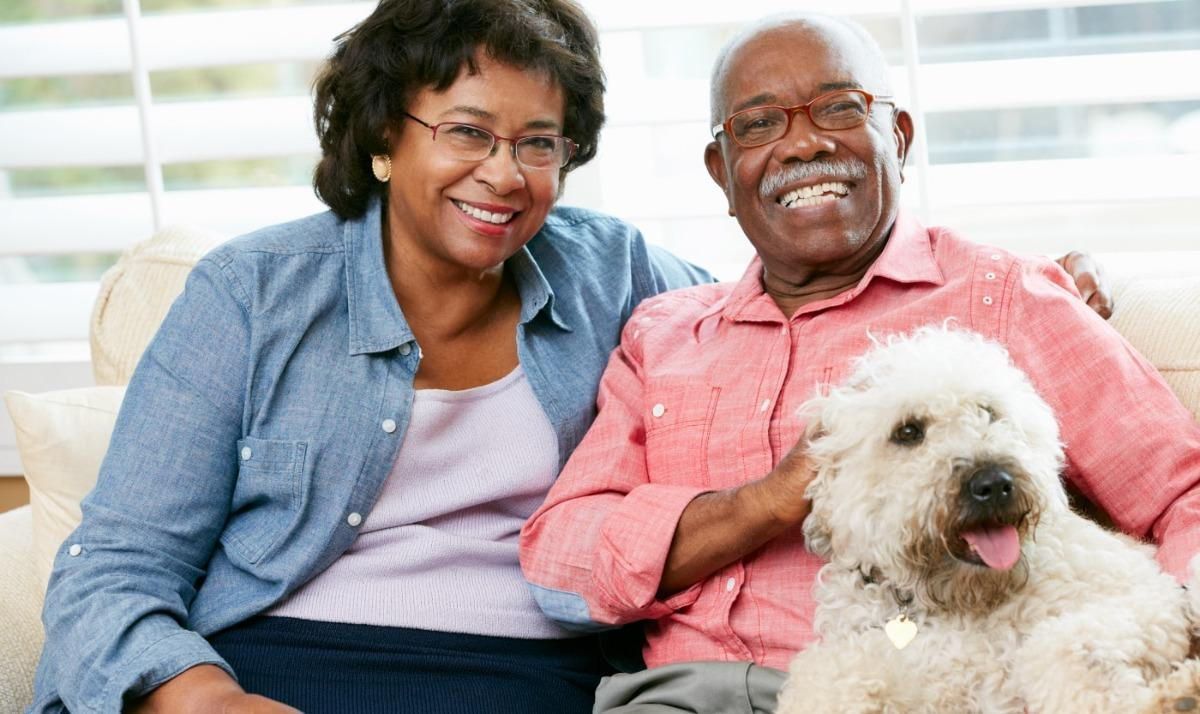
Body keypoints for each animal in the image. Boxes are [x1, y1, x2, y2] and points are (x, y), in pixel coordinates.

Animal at [772, 326, 1200, 710]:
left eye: (988, 412)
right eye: (908, 431)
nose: (994, 483)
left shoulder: (1146, 600)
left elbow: (1062, 649)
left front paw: (1175, 695)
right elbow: (832, 678)